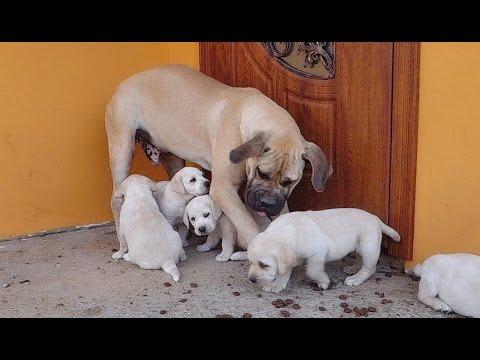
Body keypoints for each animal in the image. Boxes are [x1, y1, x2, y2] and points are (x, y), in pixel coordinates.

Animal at [106, 65, 332, 245]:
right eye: (262, 173)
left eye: (289, 182)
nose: (267, 204)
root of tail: (123, 83)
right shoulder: (223, 189)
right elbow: (247, 223)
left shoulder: (279, 196)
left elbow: (283, 212)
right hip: (122, 150)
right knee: (116, 197)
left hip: (173, 157)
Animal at [246, 208, 400, 292]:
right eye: (250, 263)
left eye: (264, 265)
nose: (251, 280)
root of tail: (375, 218)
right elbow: (284, 272)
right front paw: (278, 284)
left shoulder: (317, 252)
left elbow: (312, 271)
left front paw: (324, 281)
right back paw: (352, 268)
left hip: (368, 246)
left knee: (369, 268)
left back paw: (356, 277)